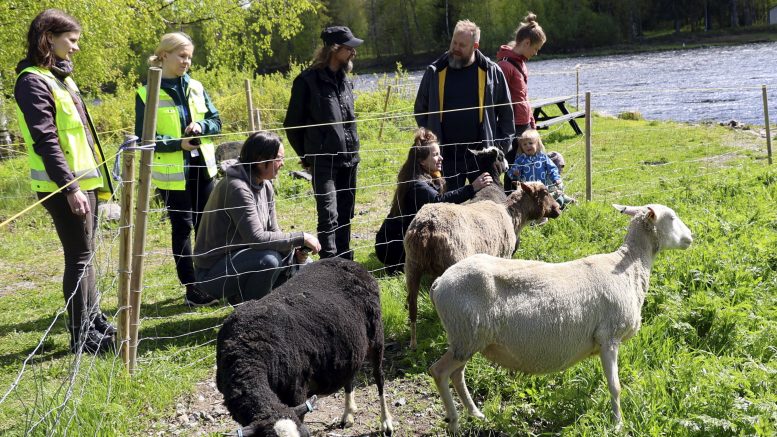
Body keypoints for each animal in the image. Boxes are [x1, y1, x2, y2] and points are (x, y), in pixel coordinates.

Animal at [215, 258, 392, 434]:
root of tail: (347, 261)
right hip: (350, 346)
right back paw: (348, 414)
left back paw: (386, 423)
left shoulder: (296, 392)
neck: (249, 348)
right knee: (350, 375)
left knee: (379, 376)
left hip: (376, 334)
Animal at [430, 203, 692, 430]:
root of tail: (439, 283)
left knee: (457, 374)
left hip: (466, 339)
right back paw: (454, 422)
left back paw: (475, 413)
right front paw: (618, 424)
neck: (630, 267)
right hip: (466, 335)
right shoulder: (609, 336)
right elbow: (615, 386)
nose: (691, 237)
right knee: (439, 372)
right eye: (671, 217)